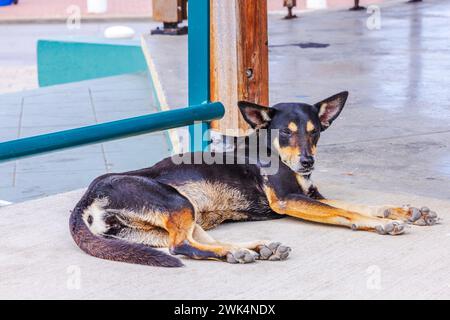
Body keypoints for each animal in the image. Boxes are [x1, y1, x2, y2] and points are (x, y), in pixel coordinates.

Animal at [70, 91, 440, 266]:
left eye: (315, 132)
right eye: (285, 133)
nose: (308, 161)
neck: (273, 152)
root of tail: (86, 198)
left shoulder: (312, 196)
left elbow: (360, 203)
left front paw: (405, 211)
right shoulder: (290, 200)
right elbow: (347, 211)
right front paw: (381, 224)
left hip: (177, 219)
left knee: (194, 241)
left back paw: (252, 248)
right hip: (177, 202)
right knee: (181, 246)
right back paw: (239, 253)